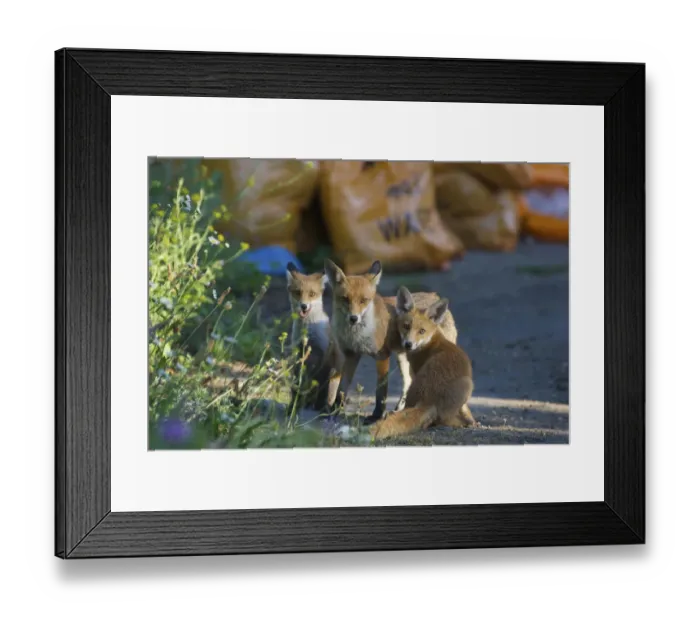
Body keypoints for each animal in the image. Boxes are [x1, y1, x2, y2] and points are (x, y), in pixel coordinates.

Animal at [285, 263, 343, 413]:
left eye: (312, 294)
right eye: (298, 292)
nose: (304, 306)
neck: (309, 332)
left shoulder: (326, 356)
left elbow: (322, 388)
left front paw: (319, 406)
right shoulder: (300, 353)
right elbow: (297, 385)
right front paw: (294, 405)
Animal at [323, 258, 459, 423]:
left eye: (364, 300)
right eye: (345, 299)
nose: (353, 318)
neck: (356, 336)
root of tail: (434, 296)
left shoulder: (382, 355)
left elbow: (381, 390)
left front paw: (377, 415)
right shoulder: (351, 355)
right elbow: (342, 387)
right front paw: (335, 410)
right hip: (403, 357)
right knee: (408, 382)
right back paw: (401, 408)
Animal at [369, 286, 478, 441]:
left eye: (421, 331)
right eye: (406, 326)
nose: (408, 344)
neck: (433, 340)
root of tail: (427, 400)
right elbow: (465, 408)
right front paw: (471, 420)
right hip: (468, 384)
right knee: (442, 419)